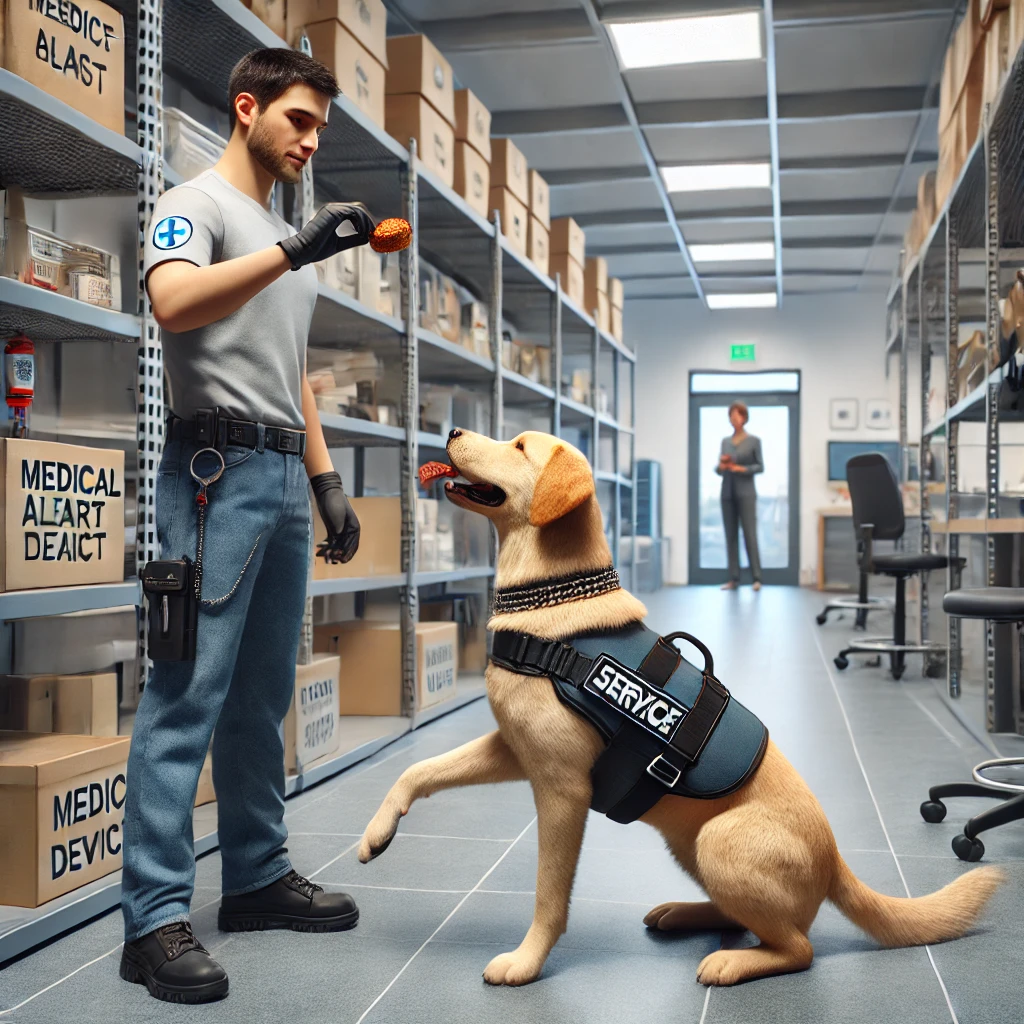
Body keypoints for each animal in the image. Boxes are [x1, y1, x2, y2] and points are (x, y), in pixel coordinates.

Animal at [356, 430, 1003, 983]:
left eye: (518, 446)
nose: (452, 432)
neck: (552, 603)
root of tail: (836, 860)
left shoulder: (563, 789)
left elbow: (548, 893)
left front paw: (527, 961)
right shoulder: (514, 750)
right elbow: (418, 770)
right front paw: (376, 833)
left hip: (720, 840)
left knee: (798, 948)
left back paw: (731, 962)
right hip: (687, 845)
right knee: (750, 920)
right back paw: (685, 915)